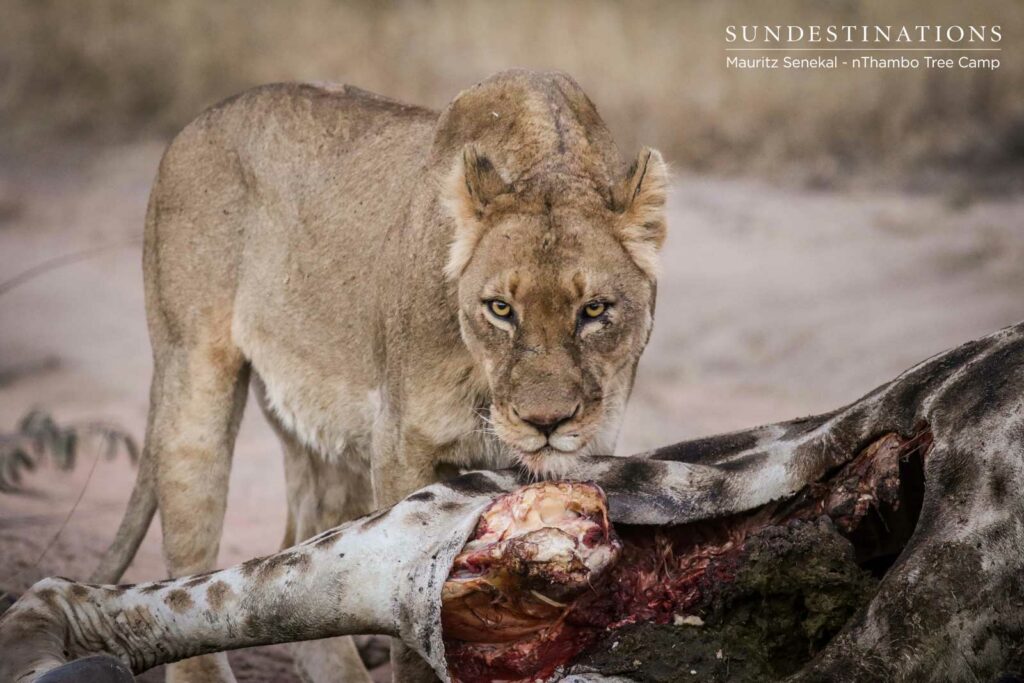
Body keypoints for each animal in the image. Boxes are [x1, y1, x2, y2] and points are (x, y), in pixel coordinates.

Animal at [91, 69, 669, 683]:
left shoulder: (594, 445)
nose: (546, 422)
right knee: (189, 570)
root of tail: (197, 122)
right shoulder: (400, 443)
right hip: (194, 379)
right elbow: (412, 620)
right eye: (500, 309)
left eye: (594, 311)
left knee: (297, 563)